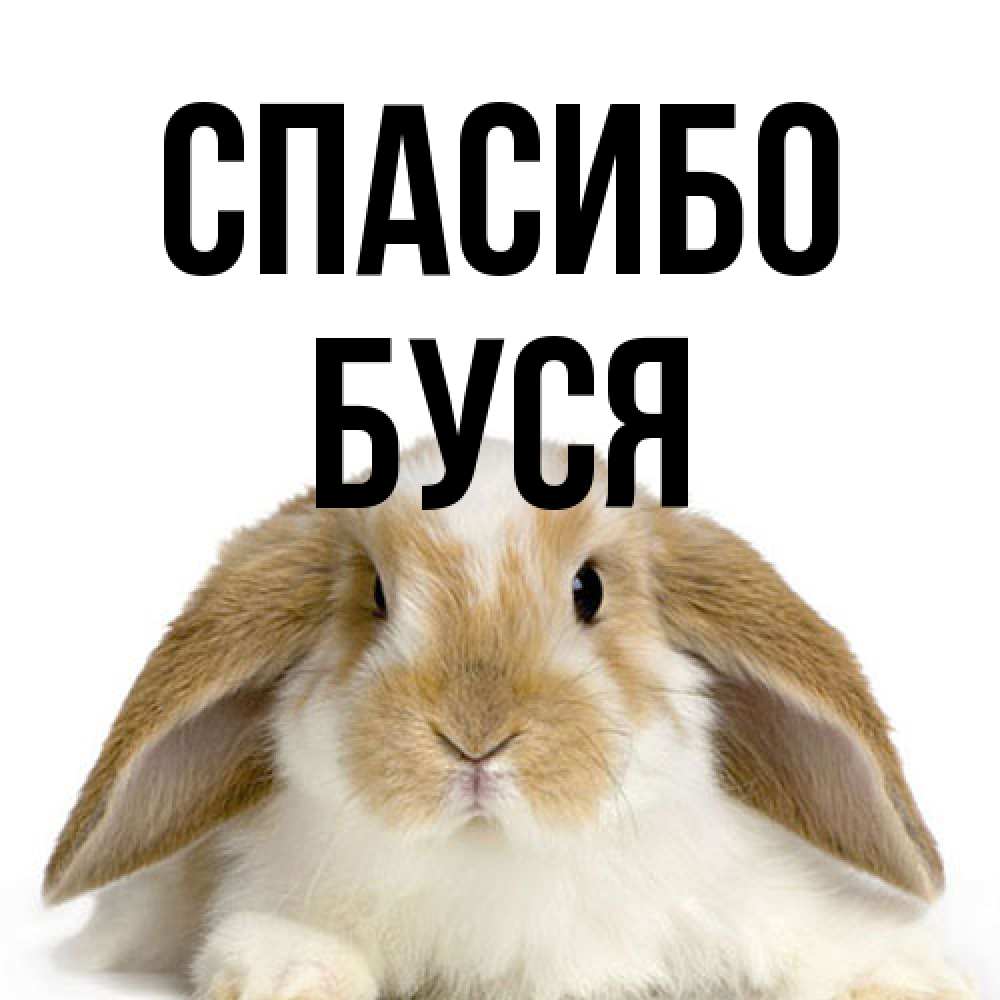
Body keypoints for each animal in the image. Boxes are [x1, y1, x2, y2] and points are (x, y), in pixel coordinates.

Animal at [45, 439, 975, 1000]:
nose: (475, 737)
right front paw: (290, 977)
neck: (495, 857)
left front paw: (910, 978)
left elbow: (819, 939)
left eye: (589, 589)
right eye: (376, 596)